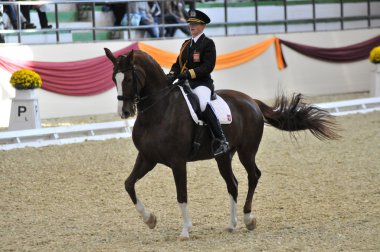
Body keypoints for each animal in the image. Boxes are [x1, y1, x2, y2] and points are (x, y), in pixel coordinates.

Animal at [103, 48, 338, 239]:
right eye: (114, 78)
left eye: (129, 78)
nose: (125, 112)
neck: (159, 110)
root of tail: (251, 101)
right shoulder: (147, 158)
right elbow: (128, 184)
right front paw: (150, 219)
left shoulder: (178, 162)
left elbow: (182, 195)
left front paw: (186, 230)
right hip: (223, 156)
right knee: (232, 184)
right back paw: (232, 225)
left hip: (246, 152)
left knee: (253, 176)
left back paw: (248, 219)